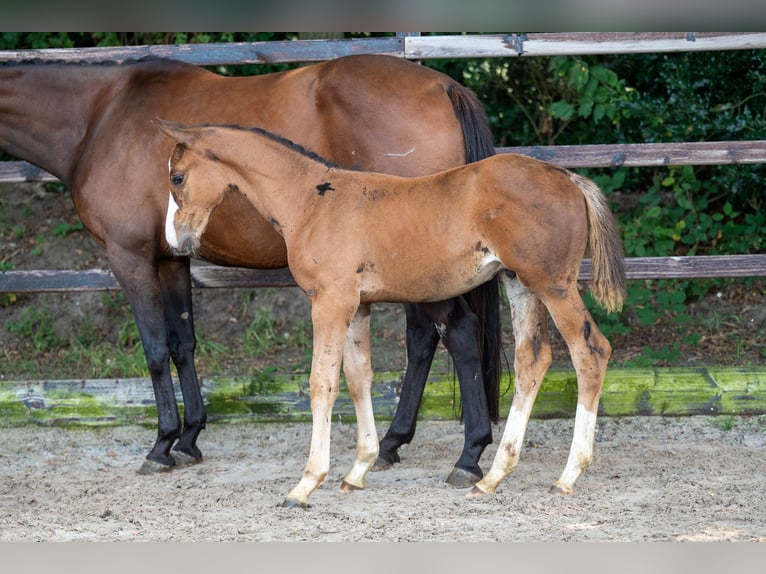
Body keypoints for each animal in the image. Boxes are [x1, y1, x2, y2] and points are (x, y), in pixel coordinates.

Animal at [1, 56, 504, 484]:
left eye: (177, 177)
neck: (100, 116)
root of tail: (444, 86)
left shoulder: (131, 257)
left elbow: (156, 350)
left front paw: (161, 446)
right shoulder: (171, 258)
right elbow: (183, 344)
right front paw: (189, 438)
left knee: (454, 334)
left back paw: (467, 455)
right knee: (425, 340)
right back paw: (392, 444)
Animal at [158, 120, 632, 508]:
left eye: (177, 177)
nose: (175, 241)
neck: (312, 200)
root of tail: (568, 176)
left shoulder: (329, 301)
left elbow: (321, 383)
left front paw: (306, 484)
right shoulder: (359, 305)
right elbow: (357, 378)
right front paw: (358, 469)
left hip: (552, 284)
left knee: (590, 351)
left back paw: (567, 475)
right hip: (519, 283)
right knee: (533, 359)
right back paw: (492, 477)